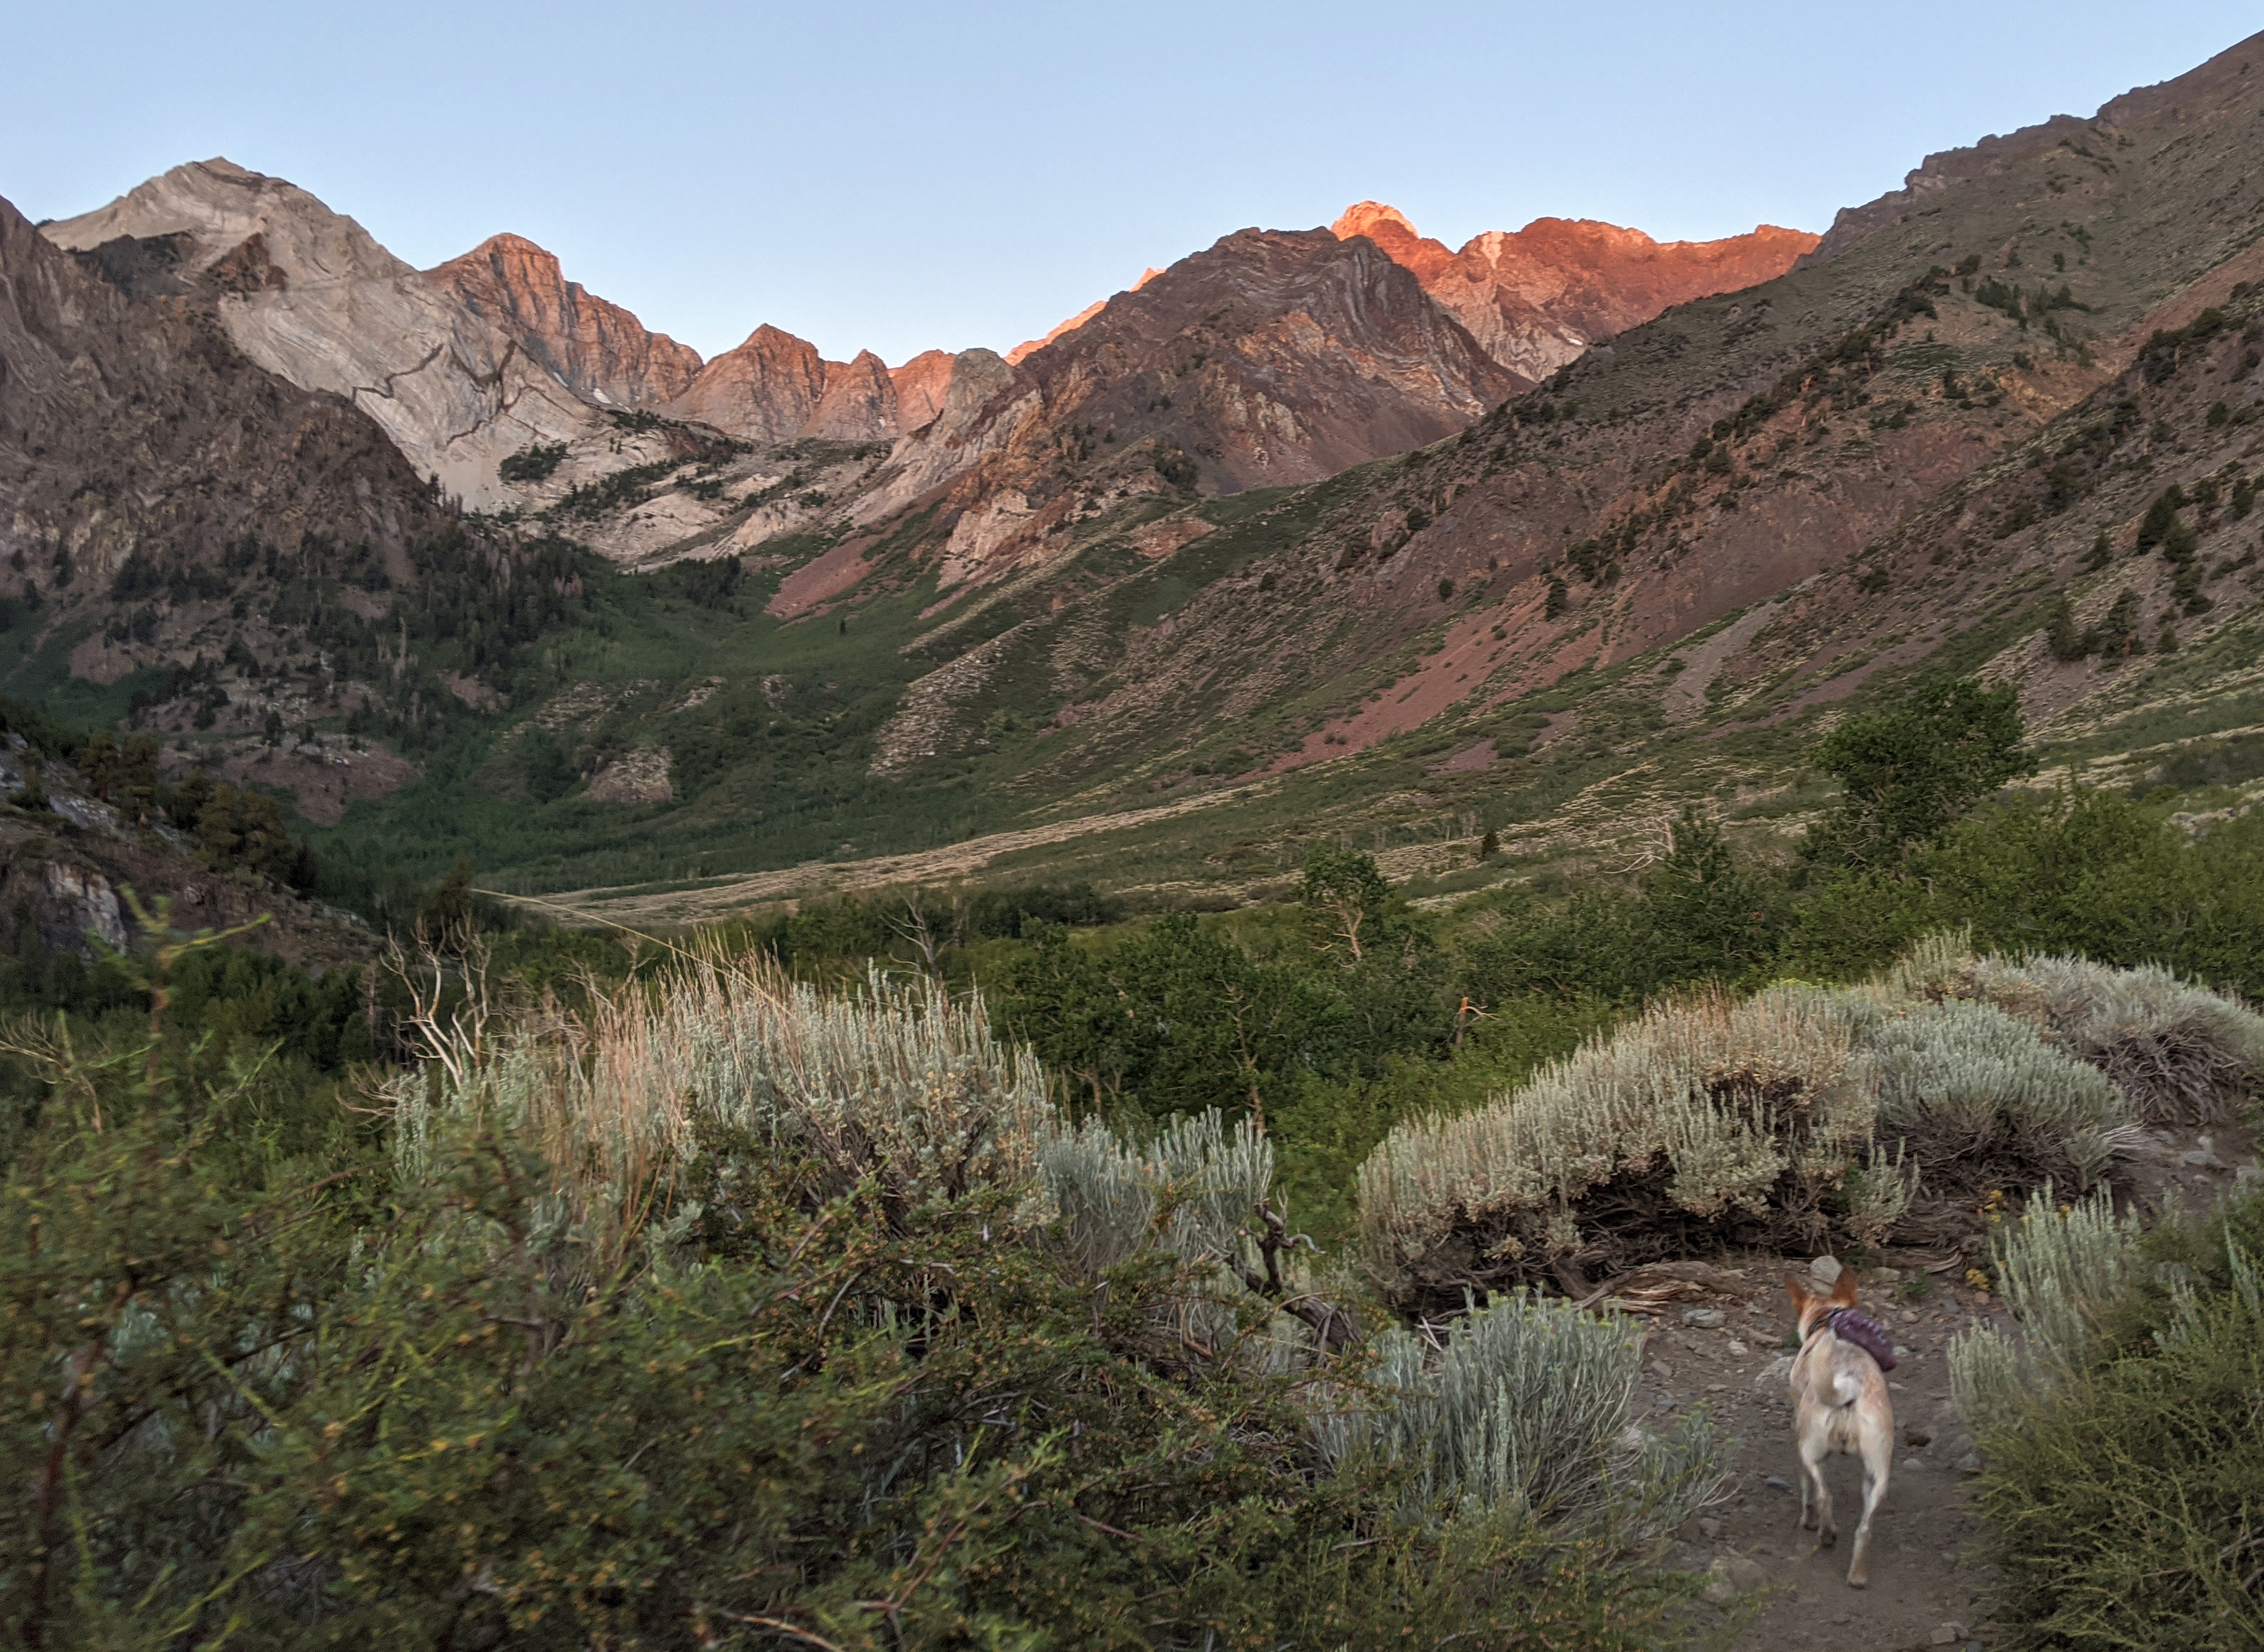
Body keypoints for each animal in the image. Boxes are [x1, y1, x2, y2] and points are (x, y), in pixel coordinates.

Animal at [1783, 1258, 1892, 1584]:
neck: (1825, 1321)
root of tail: (1849, 1386)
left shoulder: (1800, 1443)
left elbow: (1806, 1490)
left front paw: (1807, 1521)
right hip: (1877, 1475)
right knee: (1865, 1529)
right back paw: (1857, 1576)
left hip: (1811, 1451)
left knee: (1823, 1497)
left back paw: (1826, 1534)